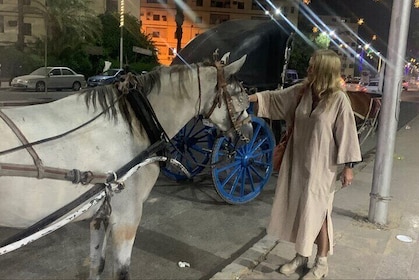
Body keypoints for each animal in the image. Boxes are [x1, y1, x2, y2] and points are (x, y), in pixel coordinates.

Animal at [0, 53, 253, 278]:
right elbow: (121, 273)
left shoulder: (101, 214)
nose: (250, 131)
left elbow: (97, 266)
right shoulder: (126, 218)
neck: (134, 120)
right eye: (241, 97)